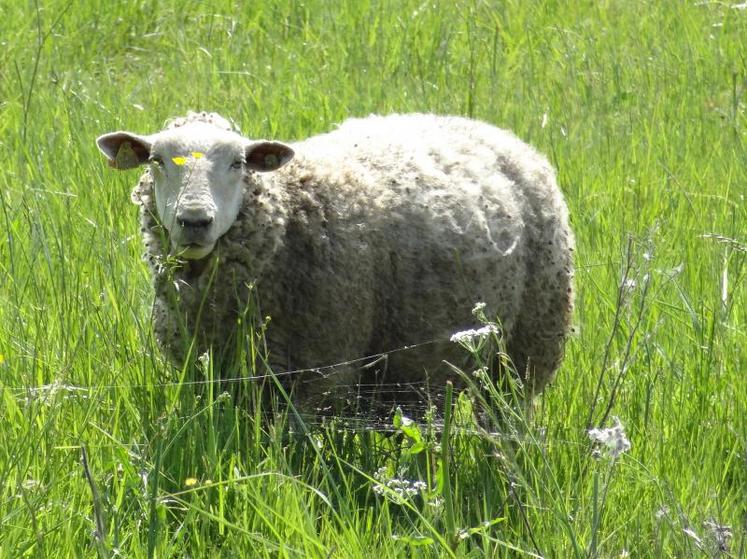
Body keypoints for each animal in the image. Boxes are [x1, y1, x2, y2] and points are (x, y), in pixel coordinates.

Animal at [93, 112, 572, 412]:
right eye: (156, 161)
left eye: (239, 163)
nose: (194, 221)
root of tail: (495, 132)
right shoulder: (204, 373)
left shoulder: (316, 375)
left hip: (527, 349)